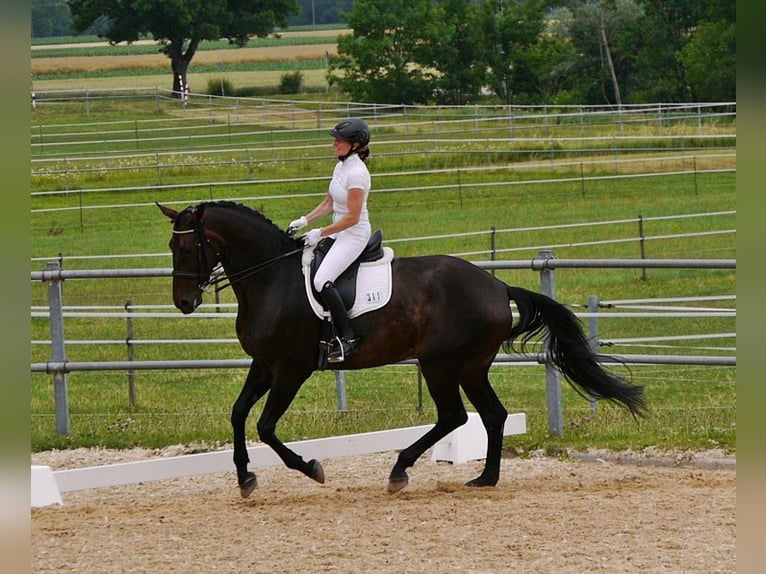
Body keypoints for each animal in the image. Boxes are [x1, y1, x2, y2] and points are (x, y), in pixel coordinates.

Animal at [158, 200, 648, 498]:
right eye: (170, 245)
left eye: (189, 246)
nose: (184, 303)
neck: (272, 279)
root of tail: (495, 285)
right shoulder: (264, 364)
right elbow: (239, 414)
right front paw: (245, 477)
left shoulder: (291, 369)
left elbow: (265, 425)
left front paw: (311, 467)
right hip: (469, 366)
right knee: (491, 414)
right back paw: (484, 478)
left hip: (440, 363)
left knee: (455, 416)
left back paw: (401, 471)